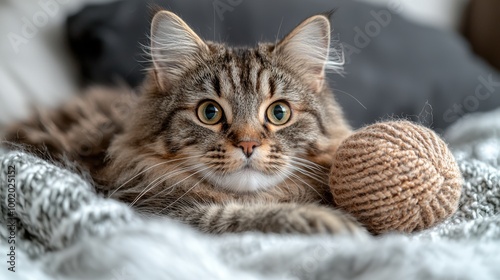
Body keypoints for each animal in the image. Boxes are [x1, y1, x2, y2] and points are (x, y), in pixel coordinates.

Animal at [4, 9, 368, 235]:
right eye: (210, 113)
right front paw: (330, 221)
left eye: (279, 113)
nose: (248, 144)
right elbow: (237, 216)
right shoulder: (152, 210)